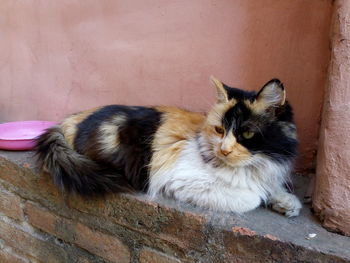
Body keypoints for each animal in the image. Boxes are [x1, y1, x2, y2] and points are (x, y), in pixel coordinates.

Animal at [35, 77, 300, 218]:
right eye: (219, 130)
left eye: (246, 133)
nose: (224, 150)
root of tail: (70, 120)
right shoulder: (182, 181)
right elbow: (251, 197)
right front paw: (265, 197)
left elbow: (271, 187)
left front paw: (287, 203)